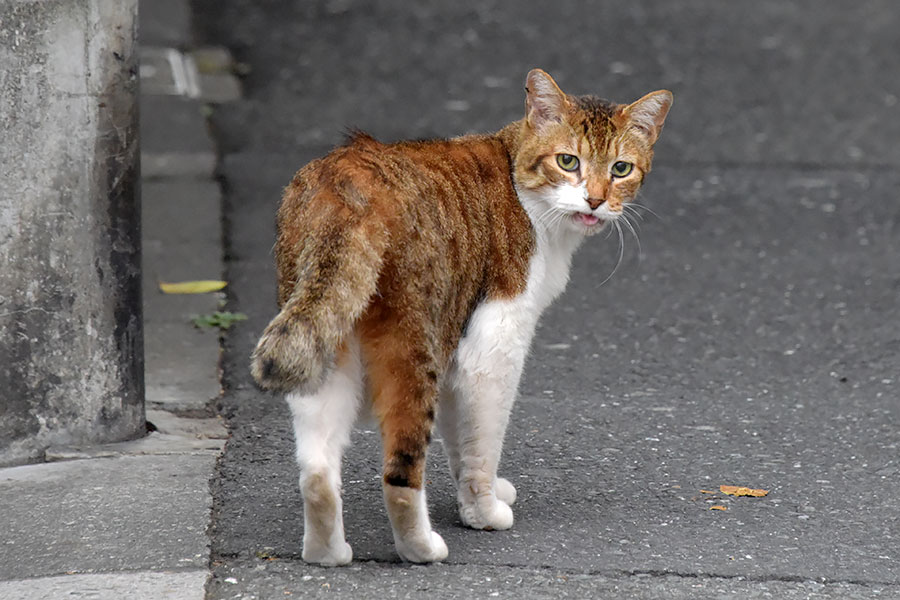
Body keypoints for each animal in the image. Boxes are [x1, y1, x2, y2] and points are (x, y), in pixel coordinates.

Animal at [250, 70, 672, 568]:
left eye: (621, 169)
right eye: (568, 161)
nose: (595, 200)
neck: (522, 189)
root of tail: (345, 182)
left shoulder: (460, 341)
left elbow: (460, 433)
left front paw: (474, 497)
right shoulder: (494, 343)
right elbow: (483, 441)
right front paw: (484, 509)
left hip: (323, 336)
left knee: (316, 471)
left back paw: (326, 552)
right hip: (415, 342)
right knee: (400, 471)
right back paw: (420, 546)